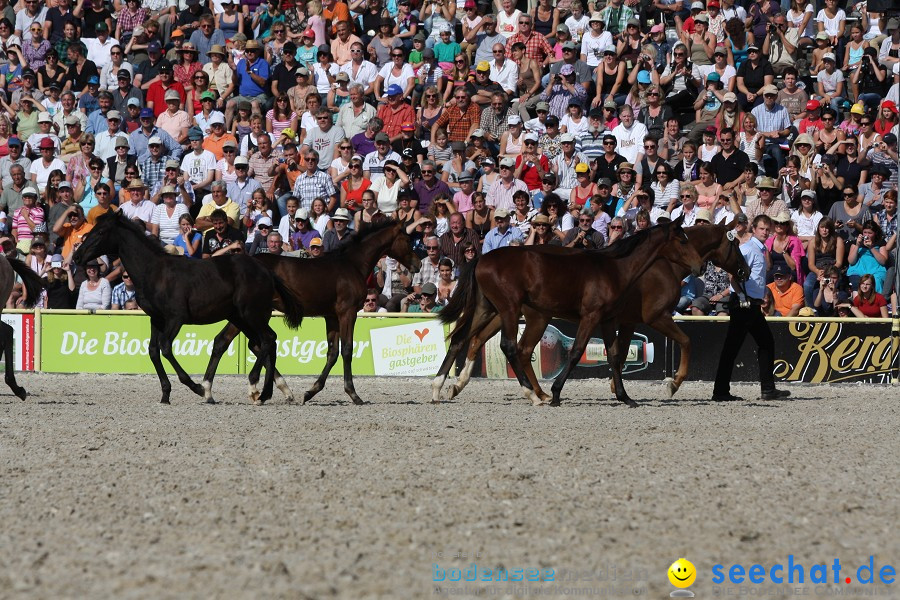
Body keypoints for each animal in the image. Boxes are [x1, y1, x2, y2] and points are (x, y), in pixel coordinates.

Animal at [72, 211, 304, 404]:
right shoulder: (156, 319)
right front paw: (166, 394)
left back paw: (255, 388)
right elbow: (153, 351)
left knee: (267, 339)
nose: (76, 256)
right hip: (240, 317)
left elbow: (165, 347)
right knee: (263, 342)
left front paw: (197, 388)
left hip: (251, 314)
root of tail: (265, 270)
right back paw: (268, 393)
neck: (153, 271)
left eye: (100, 231)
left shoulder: (176, 318)